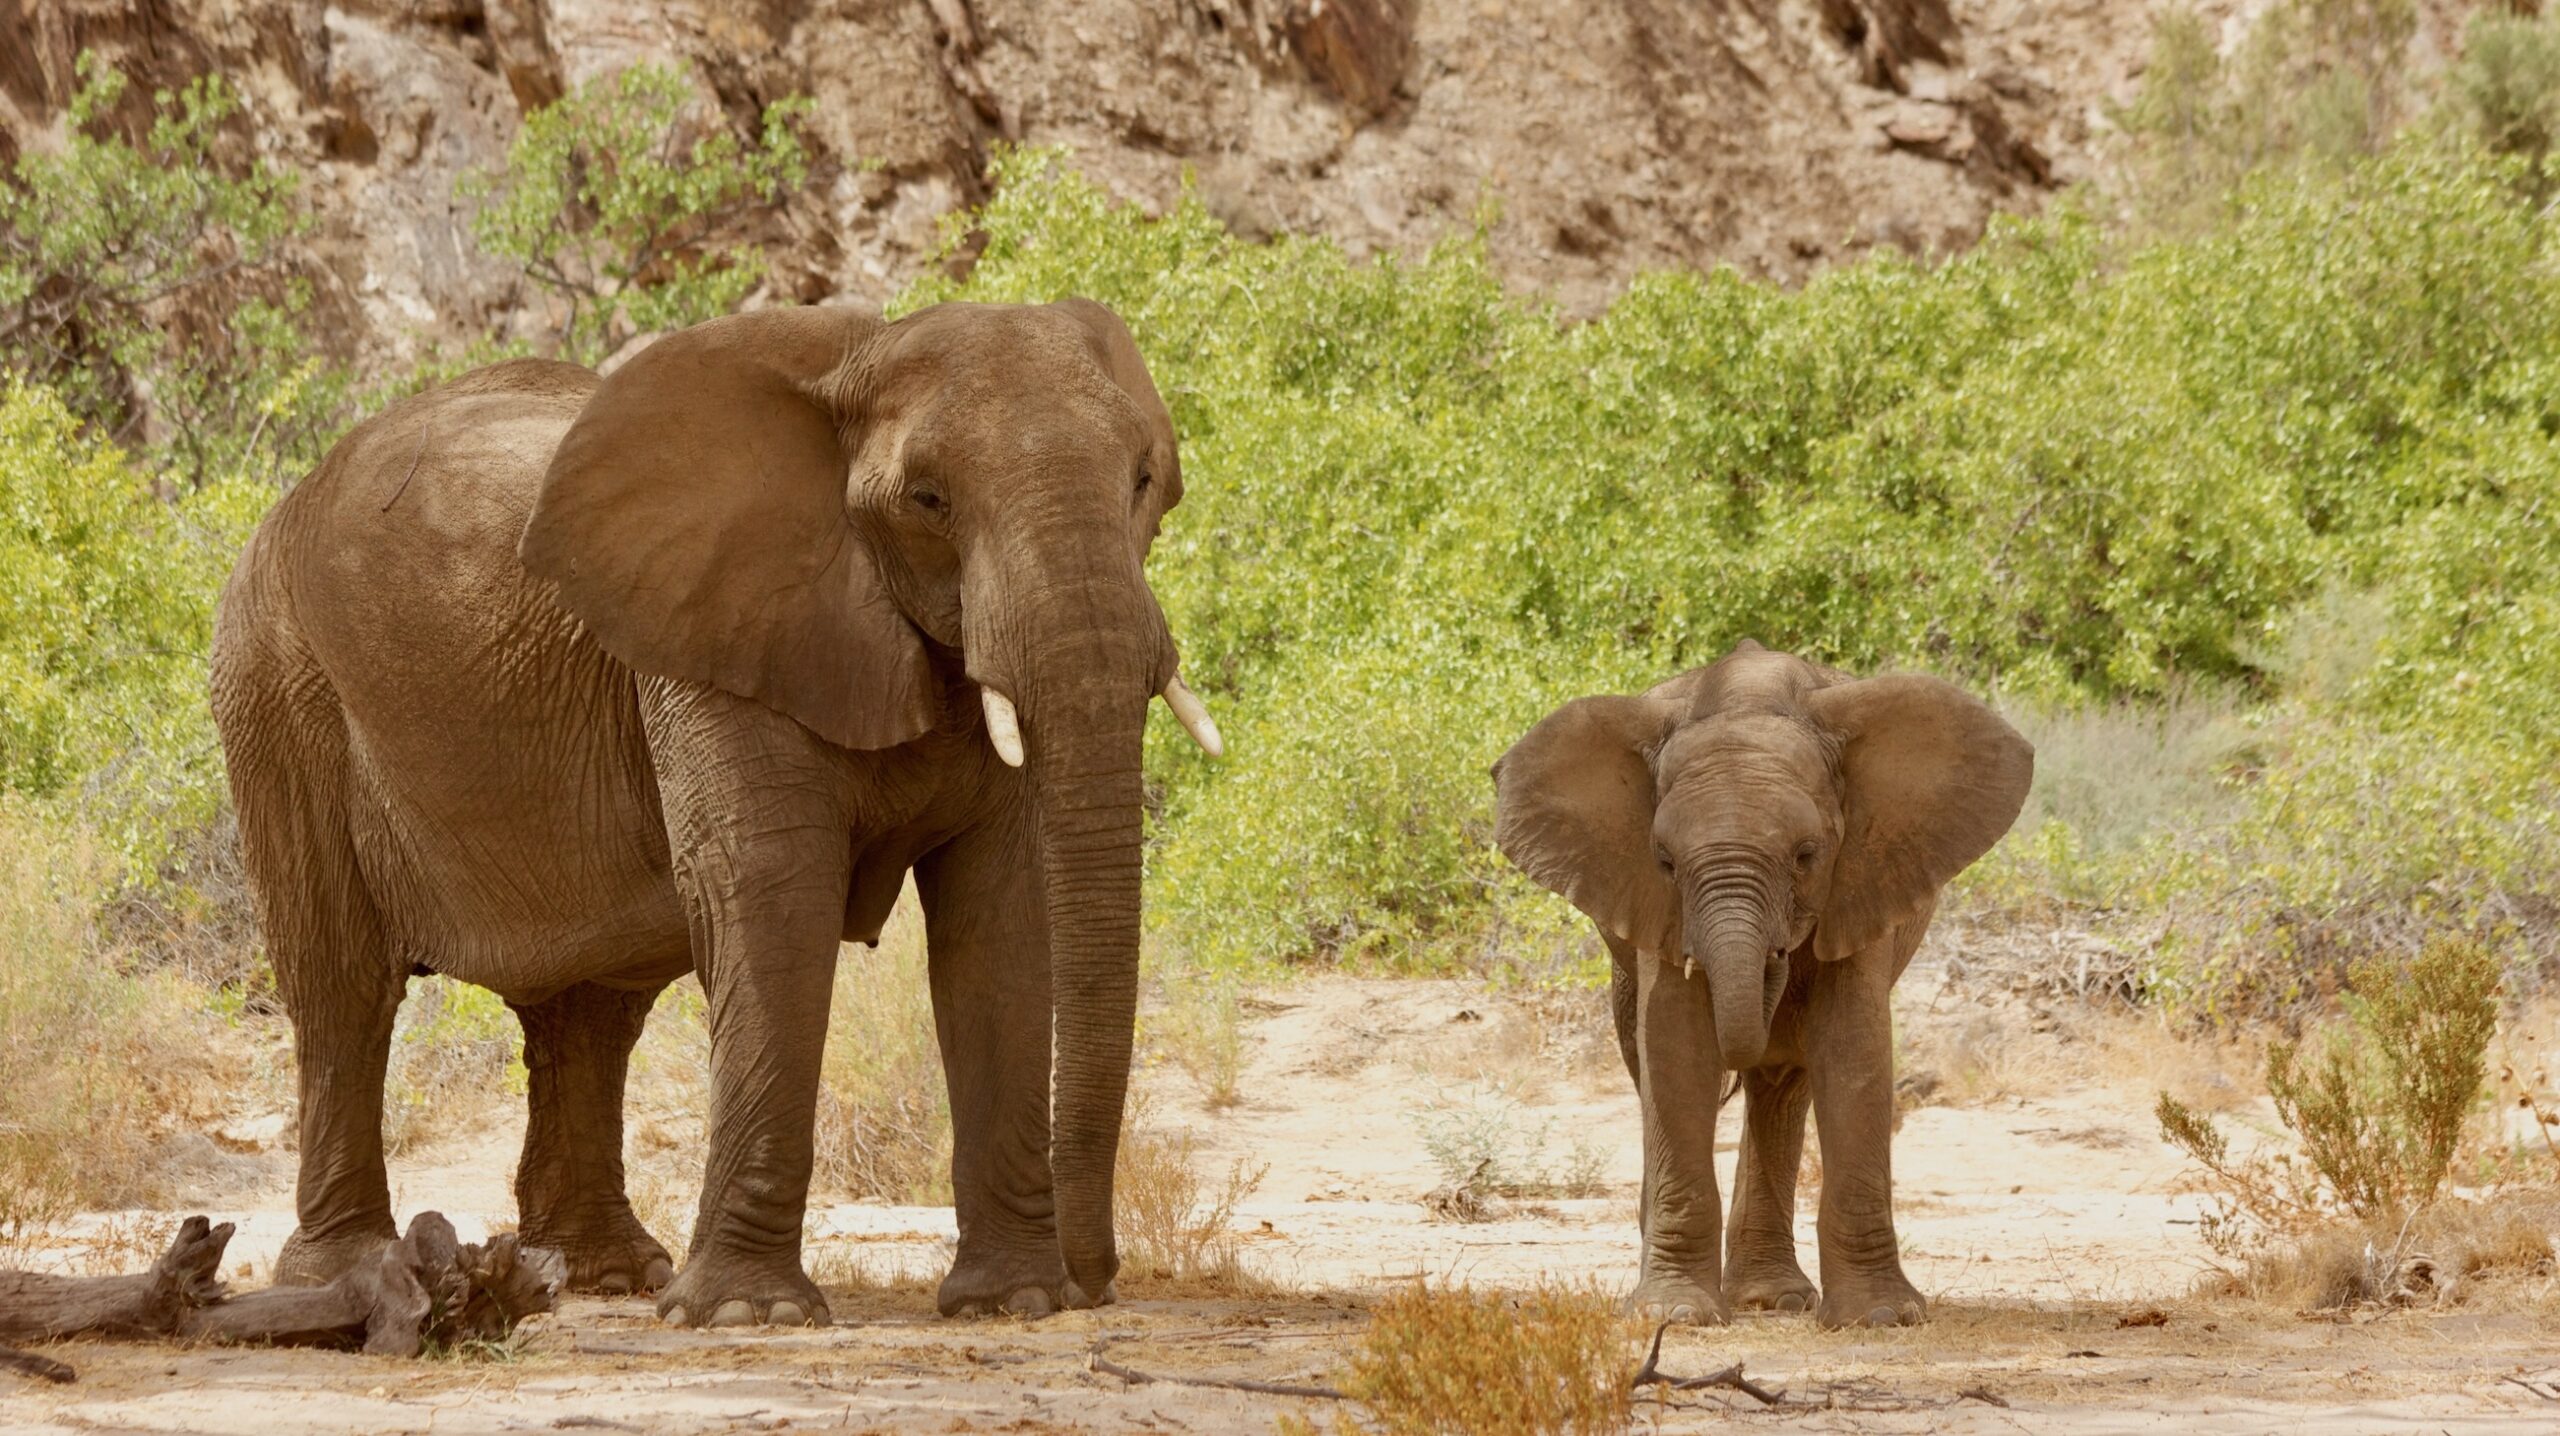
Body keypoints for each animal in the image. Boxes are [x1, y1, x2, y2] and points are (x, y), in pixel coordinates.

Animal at [208, 299, 1220, 1329]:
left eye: (1144, 481)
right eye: (928, 500)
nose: (1099, 1281)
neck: (856, 363)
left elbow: (1000, 914)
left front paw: (1014, 1300)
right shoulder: (713, 631)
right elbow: (773, 893)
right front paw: (748, 1316)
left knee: (591, 1011)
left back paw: (603, 1273)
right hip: (276, 685)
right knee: (343, 988)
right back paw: (346, 1272)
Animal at [1491, 640, 2030, 1329]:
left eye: (1806, 855)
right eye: (1664, 861)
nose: (1774, 966)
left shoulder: (1862, 877)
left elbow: (1851, 1046)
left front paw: (1880, 1318)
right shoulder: (1659, 911)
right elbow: (1674, 1045)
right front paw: (1671, 1314)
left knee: (1781, 1085)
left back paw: (1770, 1299)